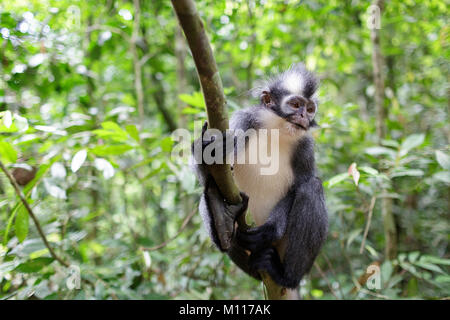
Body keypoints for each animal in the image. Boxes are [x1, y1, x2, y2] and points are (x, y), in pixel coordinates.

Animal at [192, 63, 328, 290]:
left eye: (310, 109)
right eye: (295, 104)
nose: (303, 117)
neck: (277, 131)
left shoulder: (305, 146)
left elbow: (300, 185)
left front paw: (269, 230)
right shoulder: (243, 121)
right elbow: (209, 178)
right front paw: (207, 152)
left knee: (312, 187)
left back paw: (283, 275)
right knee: (207, 194)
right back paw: (223, 218)